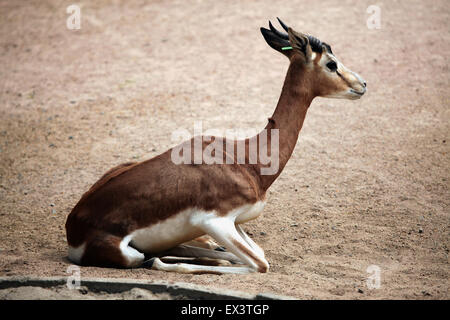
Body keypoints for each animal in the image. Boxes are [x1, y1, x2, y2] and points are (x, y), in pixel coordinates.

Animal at [66, 19, 366, 276]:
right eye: (331, 63)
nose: (362, 84)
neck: (248, 158)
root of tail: (73, 225)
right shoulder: (215, 222)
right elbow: (260, 264)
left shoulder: (234, 223)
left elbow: (257, 254)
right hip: (130, 254)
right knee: (157, 256)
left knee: (201, 249)